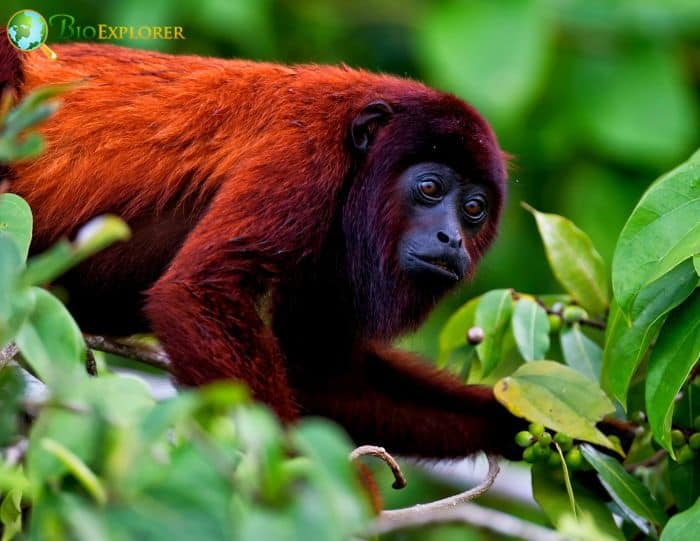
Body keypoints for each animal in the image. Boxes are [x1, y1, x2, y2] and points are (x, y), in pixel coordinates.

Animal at [1, 34, 524, 456]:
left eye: (474, 209)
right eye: (431, 188)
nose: (451, 238)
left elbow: (323, 373)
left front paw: (510, 420)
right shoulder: (303, 152)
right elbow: (200, 291)